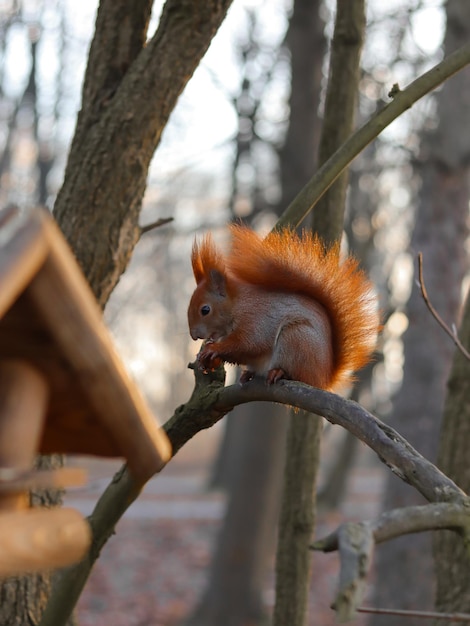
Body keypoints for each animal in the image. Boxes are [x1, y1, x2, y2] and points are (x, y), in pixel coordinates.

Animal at [187, 224, 378, 390]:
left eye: (205, 310)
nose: (194, 335)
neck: (236, 305)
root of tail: (324, 379)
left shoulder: (255, 318)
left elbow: (249, 344)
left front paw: (212, 349)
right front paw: (206, 359)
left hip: (296, 339)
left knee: (296, 373)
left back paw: (279, 372)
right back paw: (248, 374)